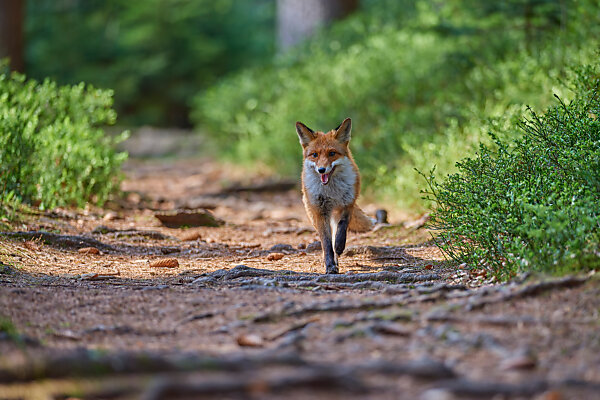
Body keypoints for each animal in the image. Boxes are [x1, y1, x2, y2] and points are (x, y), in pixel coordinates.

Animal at [294, 117, 370, 274]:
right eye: (315, 155)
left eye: (332, 153)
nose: (321, 170)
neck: (331, 191)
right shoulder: (320, 212)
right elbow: (327, 244)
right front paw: (330, 266)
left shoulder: (347, 204)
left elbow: (341, 229)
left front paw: (339, 246)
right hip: (313, 214)